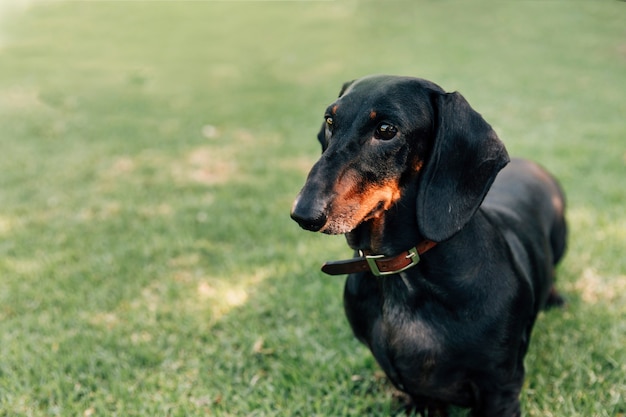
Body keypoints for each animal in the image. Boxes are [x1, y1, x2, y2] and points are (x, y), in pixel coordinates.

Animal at [290, 75, 564, 416]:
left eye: (386, 129)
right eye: (330, 120)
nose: (303, 214)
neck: (401, 268)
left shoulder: (501, 388)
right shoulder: (421, 394)